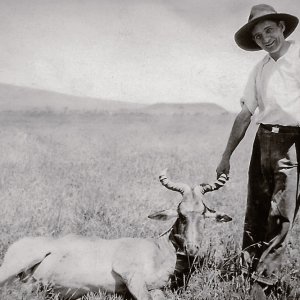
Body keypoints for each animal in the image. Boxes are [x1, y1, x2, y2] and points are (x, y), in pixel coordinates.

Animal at [0, 170, 232, 298]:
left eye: (203, 213)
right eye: (181, 213)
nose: (191, 249)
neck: (158, 248)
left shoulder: (154, 288)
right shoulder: (130, 275)